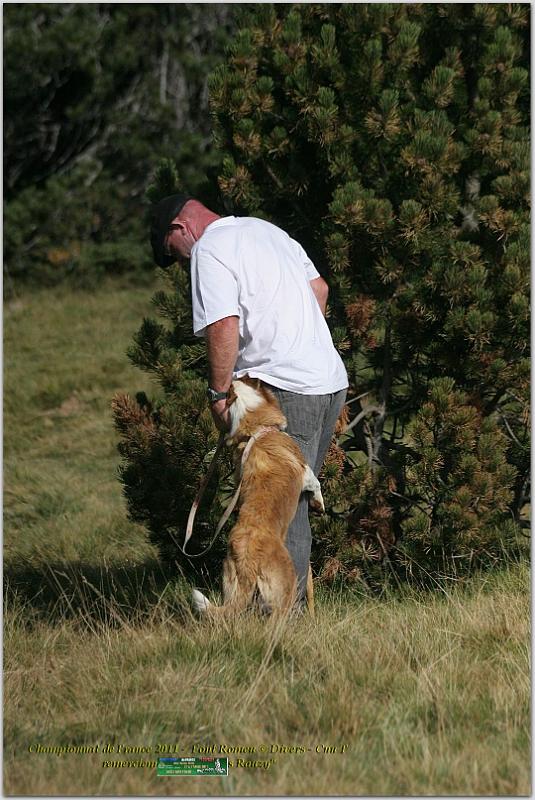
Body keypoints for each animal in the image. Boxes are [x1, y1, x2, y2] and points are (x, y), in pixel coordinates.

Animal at [192, 376, 324, 618]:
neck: (258, 431)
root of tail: (248, 561)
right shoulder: (306, 473)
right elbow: (316, 484)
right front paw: (319, 504)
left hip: (231, 583)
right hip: (285, 586)